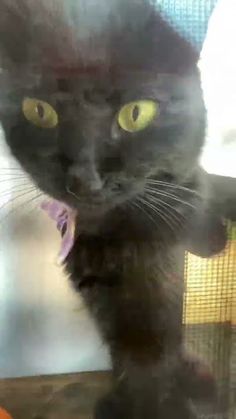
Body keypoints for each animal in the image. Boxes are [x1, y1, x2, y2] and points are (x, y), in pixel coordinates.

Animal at [0, 1, 227, 418]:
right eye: (39, 111)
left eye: (136, 113)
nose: (83, 177)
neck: (116, 233)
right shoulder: (95, 279)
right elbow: (132, 350)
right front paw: (134, 399)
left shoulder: (164, 246)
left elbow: (161, 332)